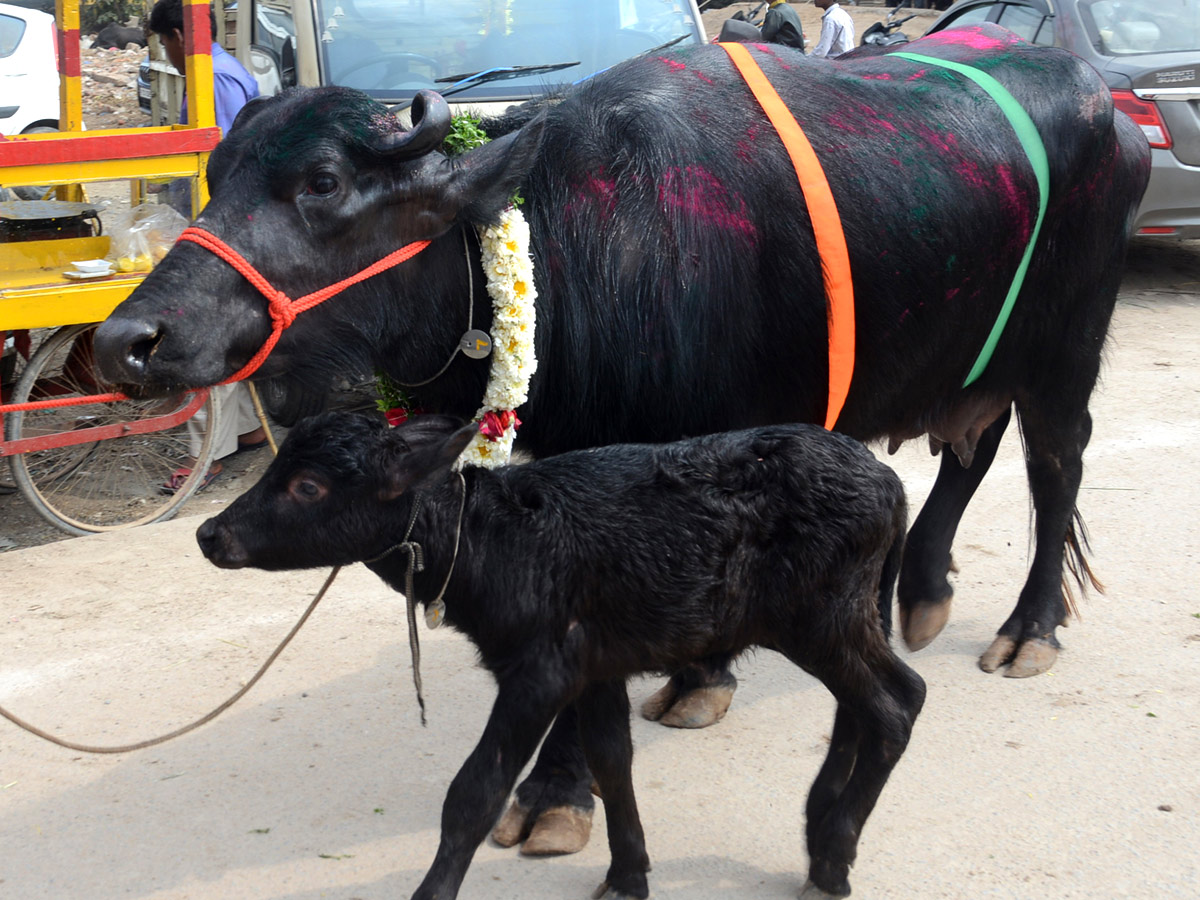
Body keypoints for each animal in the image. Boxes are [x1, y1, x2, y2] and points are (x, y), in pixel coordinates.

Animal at [199, 417, 926, 900]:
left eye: (308, 487)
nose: (209, 533)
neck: (491, 542)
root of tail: (889, 483)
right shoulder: (595, 664)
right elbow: (611, 760)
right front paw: (627, 875)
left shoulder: (539, 670)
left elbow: (474, 794)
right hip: (842, 614)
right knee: (871, 703)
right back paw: (819, 829)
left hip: (820, 615)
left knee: (896, 704)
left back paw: (831, 860)